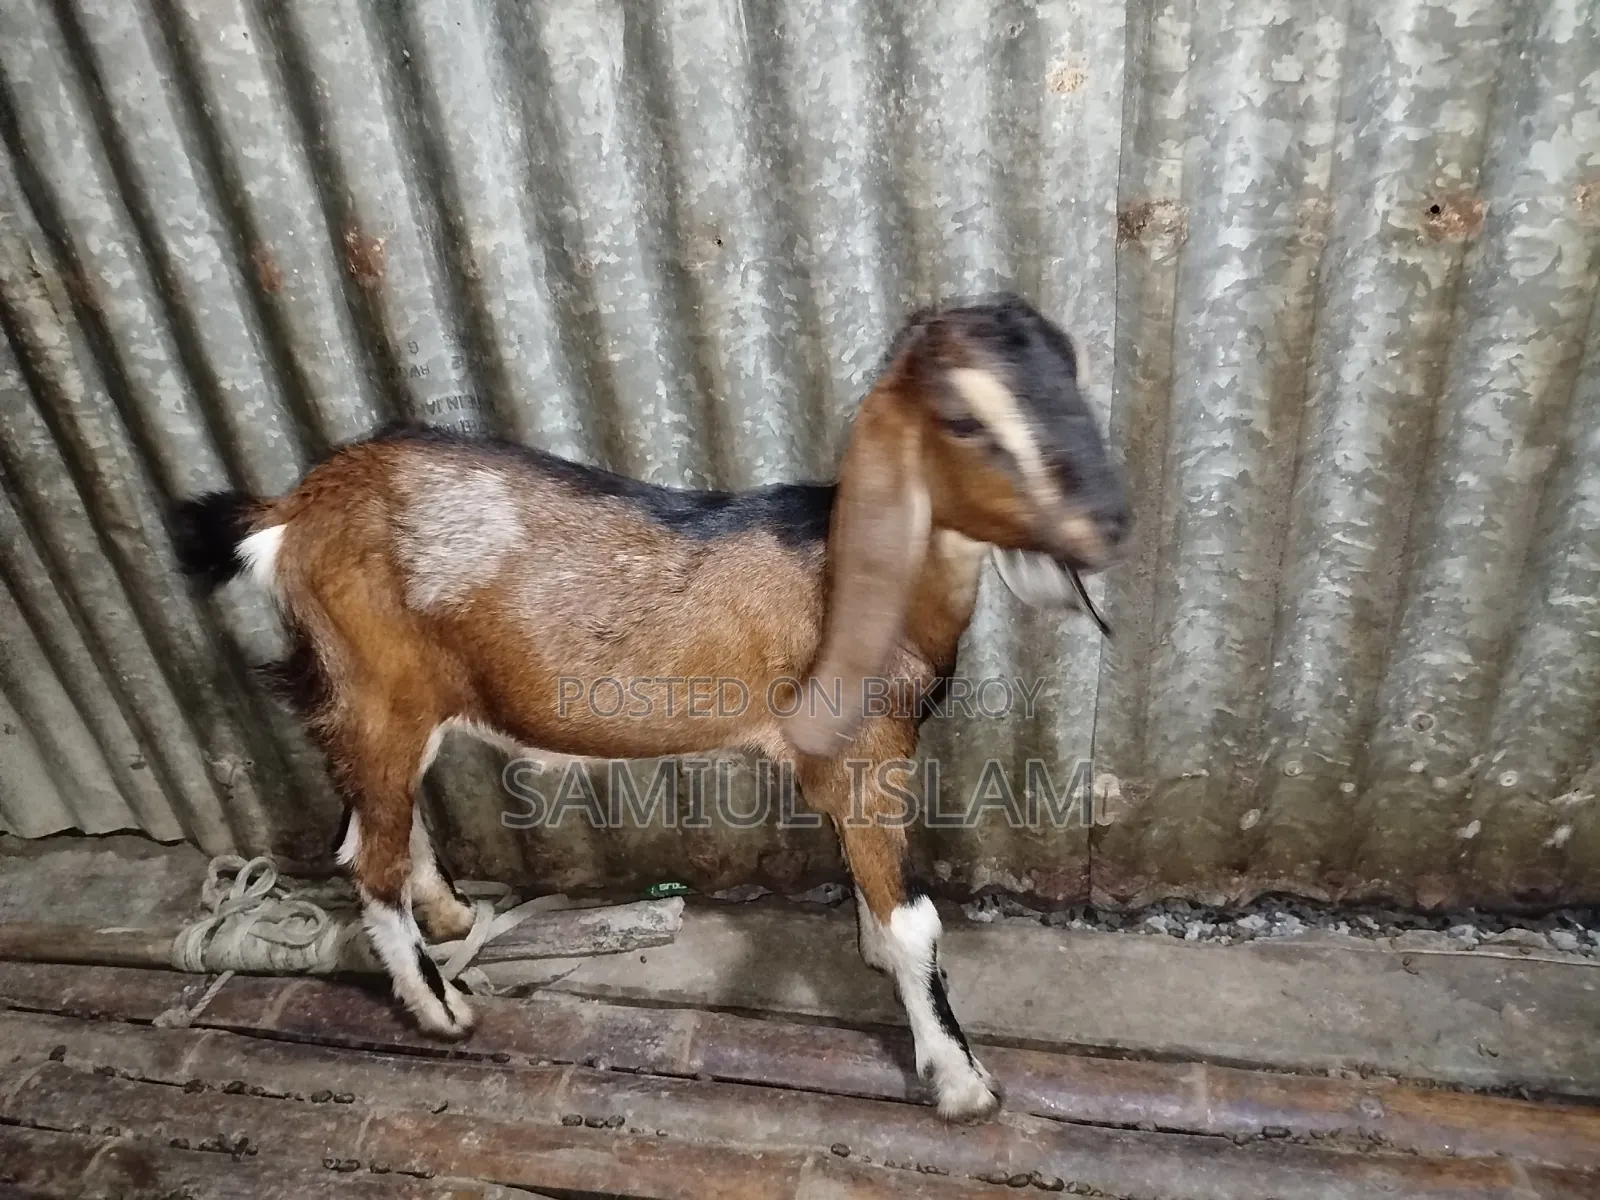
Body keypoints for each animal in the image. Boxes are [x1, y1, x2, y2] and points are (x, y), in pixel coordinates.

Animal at [170, 293, 1129, 1122]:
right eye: (965, 420)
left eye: (1075, 378)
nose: (1110, 522)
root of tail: (290, 514)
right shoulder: (860, 757)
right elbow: (916, 923)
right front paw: (961, 1082)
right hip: (377, 693)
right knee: (364, 859)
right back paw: (442, 1010)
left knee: (381, 827)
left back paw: (452, 919)